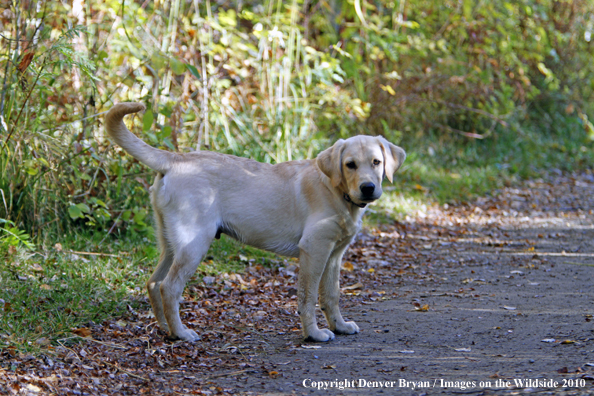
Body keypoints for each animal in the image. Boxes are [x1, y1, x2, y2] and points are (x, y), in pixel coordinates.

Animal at [104, 103, 404, 342]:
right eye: (350, 164)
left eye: (376, 162)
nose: (368, 188)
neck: (336, 191)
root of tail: (176, 159)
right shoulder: (314, 250)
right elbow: (308, 297)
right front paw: (314, 334)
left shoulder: (334, 255)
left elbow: (332, 295)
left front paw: (339, 326)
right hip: (194, 243)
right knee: (169, 287)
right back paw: (181, 333)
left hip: (170, 242)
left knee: (153, 283)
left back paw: (166, 329)